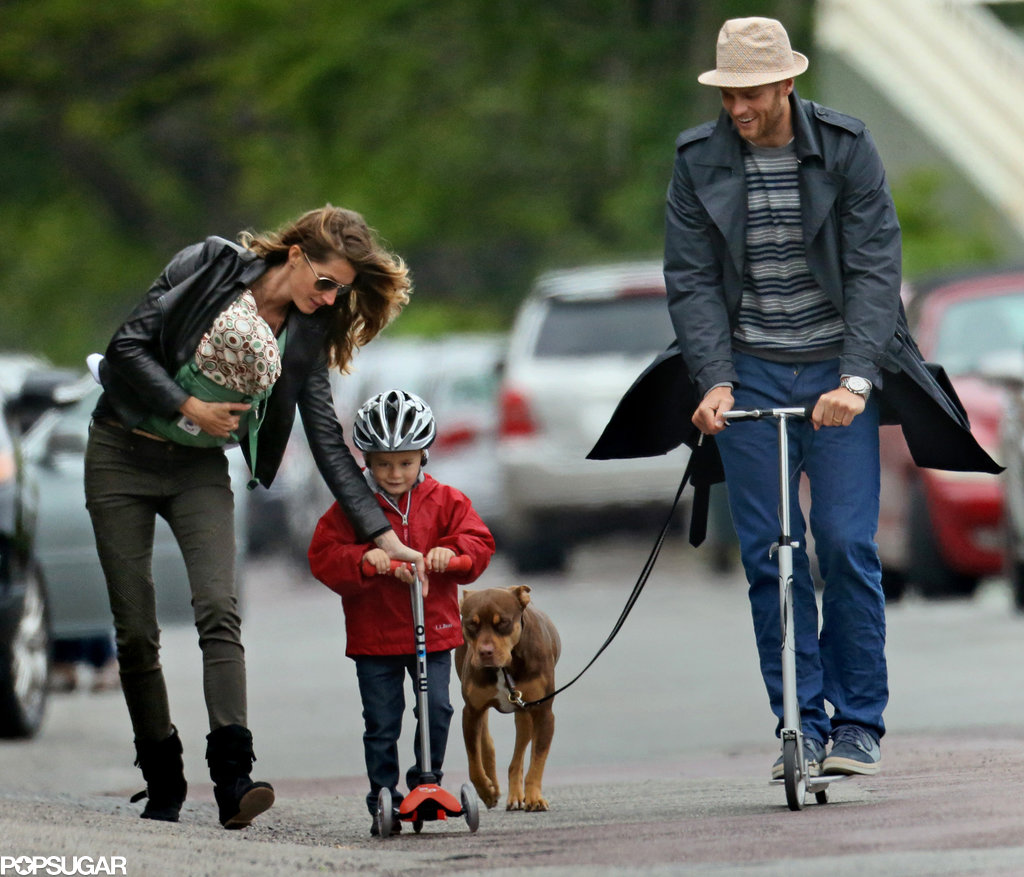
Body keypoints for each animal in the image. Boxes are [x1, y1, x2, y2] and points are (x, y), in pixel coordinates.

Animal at [458, 586, 565, 811]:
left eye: (503, 622)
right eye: (472, 624)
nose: (485, 652)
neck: (505, 666)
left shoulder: (543, 712)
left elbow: (537, 760)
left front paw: (535, 798)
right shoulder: (471, 711)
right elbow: (473, 761)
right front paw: (486, 791)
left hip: (525, 713)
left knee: (519, 755)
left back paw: (516, 795)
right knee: (485, 740)